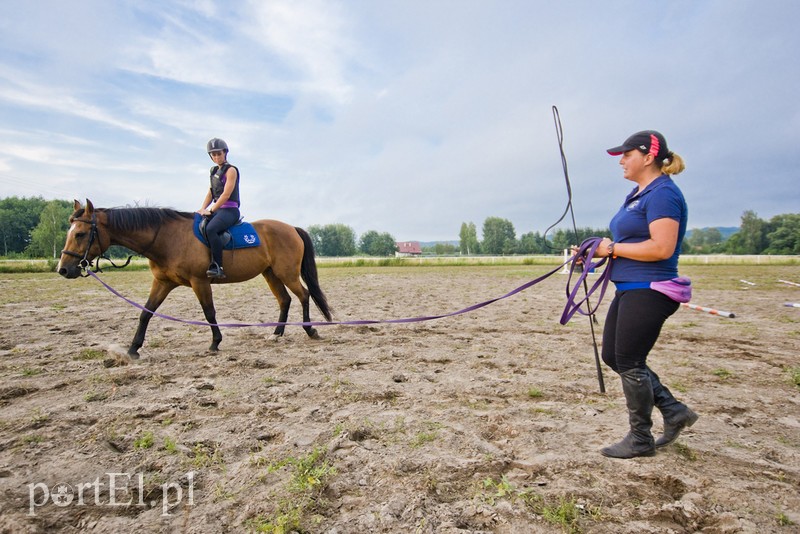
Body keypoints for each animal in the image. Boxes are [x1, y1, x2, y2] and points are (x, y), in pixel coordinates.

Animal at [56, 199, 332, 358]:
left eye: (80, 234)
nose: (63, 269)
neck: (166, 238)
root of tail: (291, 228)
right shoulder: (163, 282)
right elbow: (146, 312)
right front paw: (133, 349)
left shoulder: (200, 282)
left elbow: (209, 312)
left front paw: (215, 343)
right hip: (271, 273)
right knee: (285, 300)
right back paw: (277, 333)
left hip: (286, 272)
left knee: (303, 295)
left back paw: (310, 330)